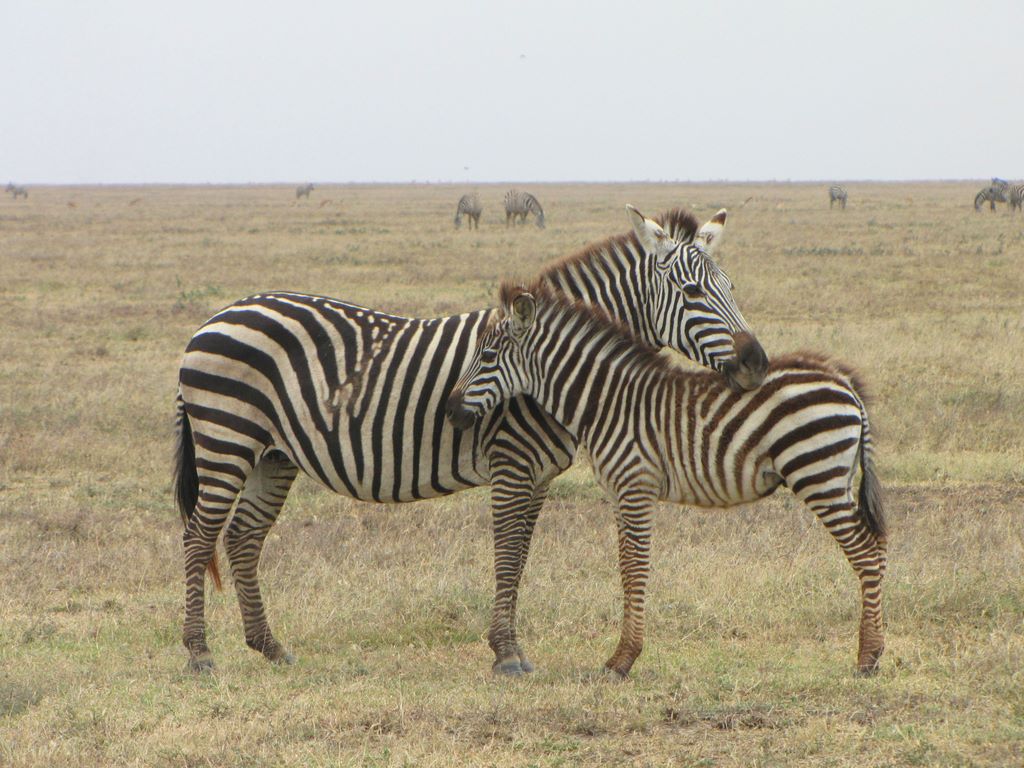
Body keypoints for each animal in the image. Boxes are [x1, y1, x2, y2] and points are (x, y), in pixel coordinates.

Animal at [173, 205, 768, 673]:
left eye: (732, 288)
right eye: (692, 292)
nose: (757, 364)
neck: (545, 361)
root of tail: (216, 317)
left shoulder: (540, 475)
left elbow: (521, 554)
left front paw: (511, 647)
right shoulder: (512, 463)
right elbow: (505, 552)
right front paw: (506, 654)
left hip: (273, 455)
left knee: (243, 537)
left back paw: (270, 648)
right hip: (227, 439)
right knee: (200, 535)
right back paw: (200, 653)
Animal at [446, 283, 886, 678]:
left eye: (487, 356)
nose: (451, 409)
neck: (607, 402)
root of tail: (844, 383)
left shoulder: (636, 485)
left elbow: (635, 566)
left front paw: (623, 660)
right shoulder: (619, 492)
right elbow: (626, 566)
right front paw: (622, 655)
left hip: (818, 474)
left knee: (865, 552)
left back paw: (867, 660)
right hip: (836, 478)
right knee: (878, 549)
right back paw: (875, 650)